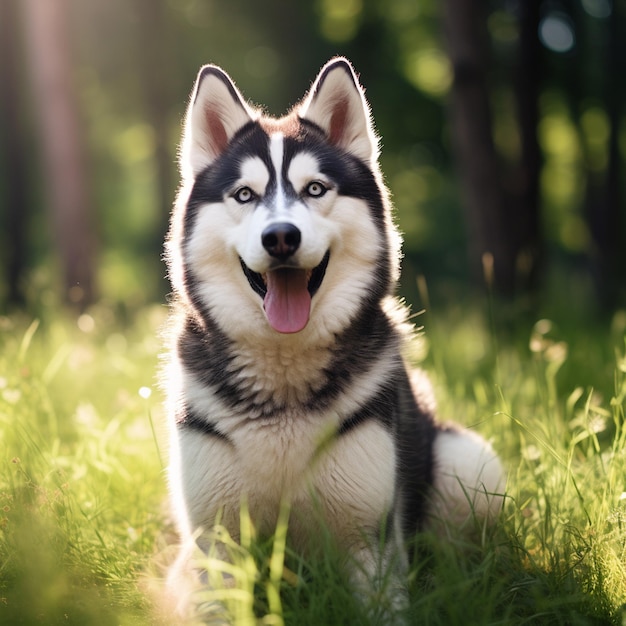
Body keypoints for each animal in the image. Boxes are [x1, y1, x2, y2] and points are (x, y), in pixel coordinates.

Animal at [163, 58, 504, 620]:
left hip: (469, 462)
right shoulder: (217, 541)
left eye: (316, 189)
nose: (281, 237)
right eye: (245, 195)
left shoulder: (370, 543)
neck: (283, 383)